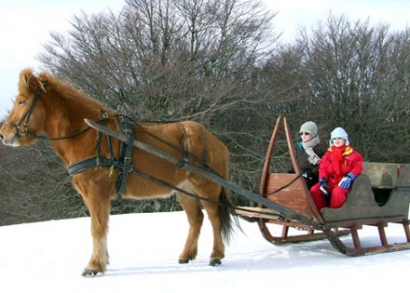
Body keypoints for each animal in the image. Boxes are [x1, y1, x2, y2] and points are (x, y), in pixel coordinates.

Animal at [0, 68, 235, 276]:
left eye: (22, 101)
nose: (4, 133)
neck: (91, 134)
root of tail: (215, 141)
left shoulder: (97, 193)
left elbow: (97, 227)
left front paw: (94, 266)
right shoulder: (94, 195)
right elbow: (101, 226)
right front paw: (102, 261)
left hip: (207, 187)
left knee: (214, 217)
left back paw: (216, 255)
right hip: (185, 191)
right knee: (196, 219)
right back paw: (187, 254)